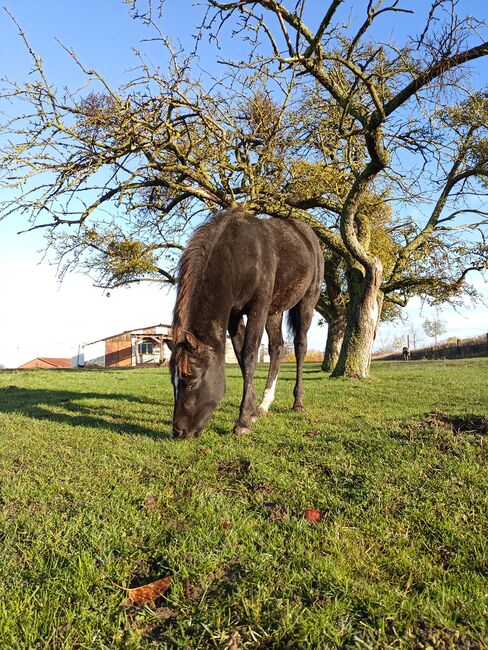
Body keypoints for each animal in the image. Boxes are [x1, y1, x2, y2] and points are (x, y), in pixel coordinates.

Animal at [169, 208, 324, 438]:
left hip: (306, 303)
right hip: (274, 312)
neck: (237, 256)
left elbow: (250, 355)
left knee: (300, 347)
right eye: (173, 381)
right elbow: (241, 358)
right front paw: (251, 411)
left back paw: (297, 402)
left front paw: (242, 422)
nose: (178, 431)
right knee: (276, 348)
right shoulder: (234, 315)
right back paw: (265, 404)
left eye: (191, 382)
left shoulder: (257, 308)